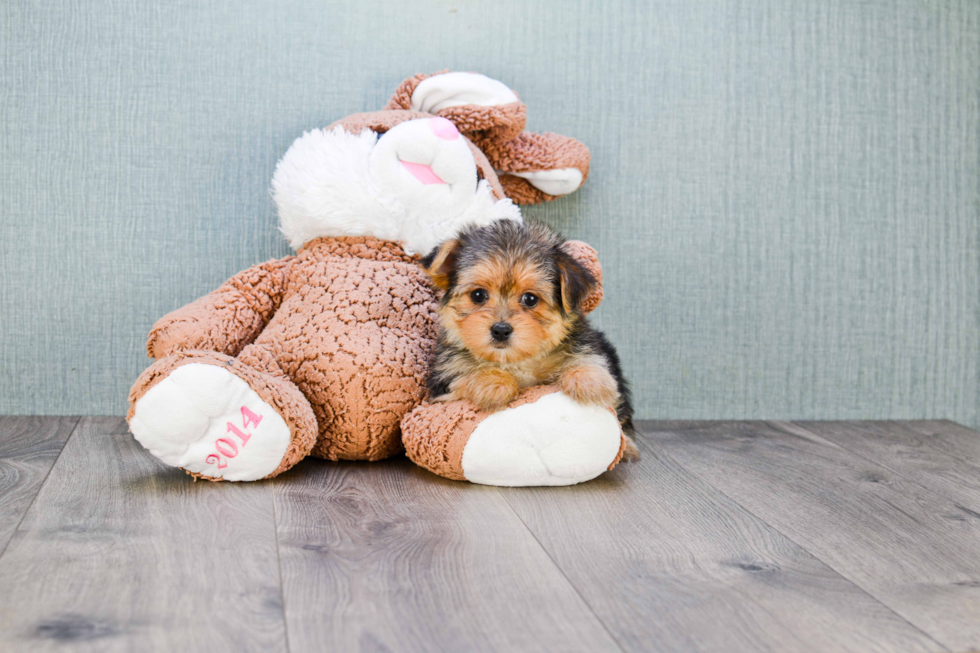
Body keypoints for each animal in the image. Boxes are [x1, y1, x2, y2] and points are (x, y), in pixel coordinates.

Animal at [422, 219, 644, 458]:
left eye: (530, 299)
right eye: (478, 295)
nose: (501, 330)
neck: (518, 360)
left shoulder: (585, 343)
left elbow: (587, 358)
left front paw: (590, 380)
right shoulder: (443, 382)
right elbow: (466, 374)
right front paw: (492, 382)